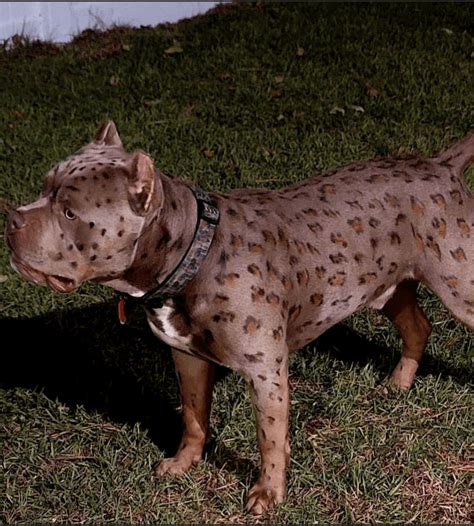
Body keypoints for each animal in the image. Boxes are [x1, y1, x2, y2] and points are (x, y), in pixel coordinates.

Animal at [7, 122, 474, 516]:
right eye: (44, 187)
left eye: (70, 212)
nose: (11, 218)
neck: (194, 252)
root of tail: (441, 165)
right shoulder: (188, 360)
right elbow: (194, 419)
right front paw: (183, 463)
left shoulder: (265, 371)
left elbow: (269, 438)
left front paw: (268, 492)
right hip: (387, 288)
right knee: (419, 326)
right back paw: (398, 383)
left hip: (460, 287)